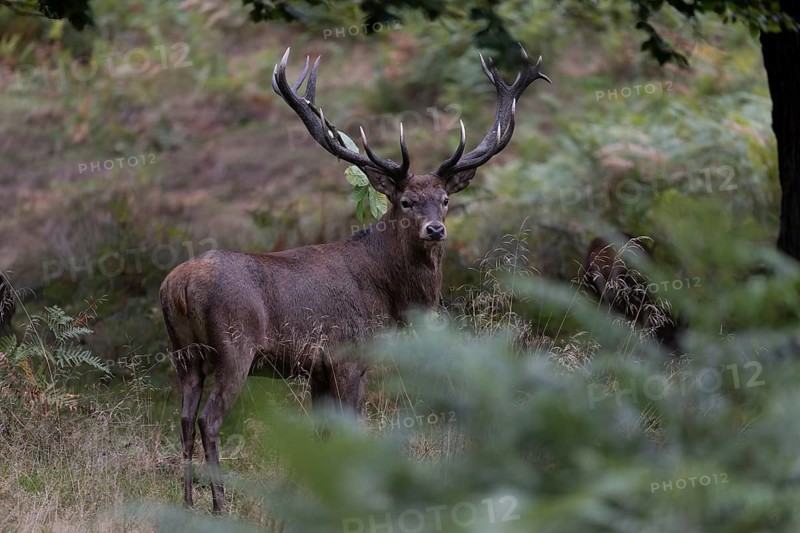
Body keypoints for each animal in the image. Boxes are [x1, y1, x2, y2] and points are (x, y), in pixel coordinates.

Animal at [159, 45, 550, 513]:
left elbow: (321, 434)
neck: (389, 296)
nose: (435, 230)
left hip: (183, 354)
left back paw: (186, 504)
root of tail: (178, 287)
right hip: (233, 347)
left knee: (183, 418)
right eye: (405, 201)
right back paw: (220, 505)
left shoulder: (316, 369)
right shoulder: (347, 355)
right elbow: (350, 430)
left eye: (444, 199)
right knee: (209, 420)